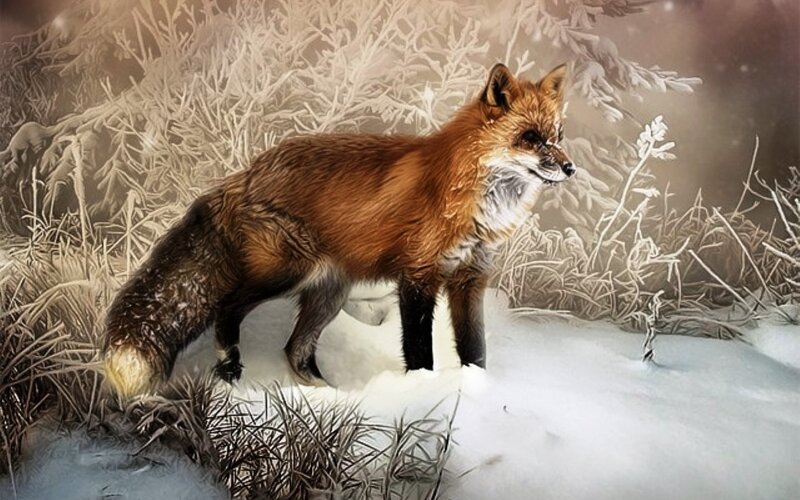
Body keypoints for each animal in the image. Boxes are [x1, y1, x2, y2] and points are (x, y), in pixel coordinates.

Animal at [102, 63, 577, 398]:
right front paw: (420, 393)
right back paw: (231, 366)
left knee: (295, 350)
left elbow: (475, 350)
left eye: (558, 134)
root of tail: (245, 173)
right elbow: (419, 349)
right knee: (227, 308)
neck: (472, 201)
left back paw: (331, 400)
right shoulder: (418, 276)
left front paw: (477, 391)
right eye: (530, 137)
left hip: (329, 292)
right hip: (286, 273)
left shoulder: (469, 278)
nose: (571, 167)